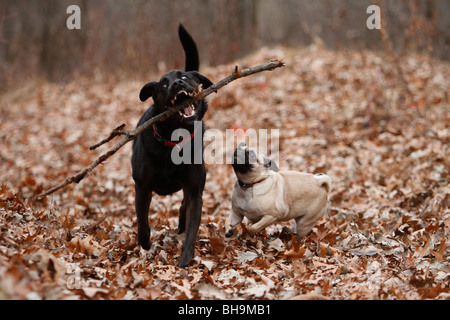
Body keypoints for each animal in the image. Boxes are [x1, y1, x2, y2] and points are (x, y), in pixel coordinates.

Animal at [132, 24, 213, 268]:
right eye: (163, 84)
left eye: (184, 76)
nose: (177, 83)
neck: (174, 141)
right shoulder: (142, 187)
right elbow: (142, 224)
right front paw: (145, 247)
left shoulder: (195, 189)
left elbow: (192, 228)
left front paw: (184, 261)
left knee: (184, 208)